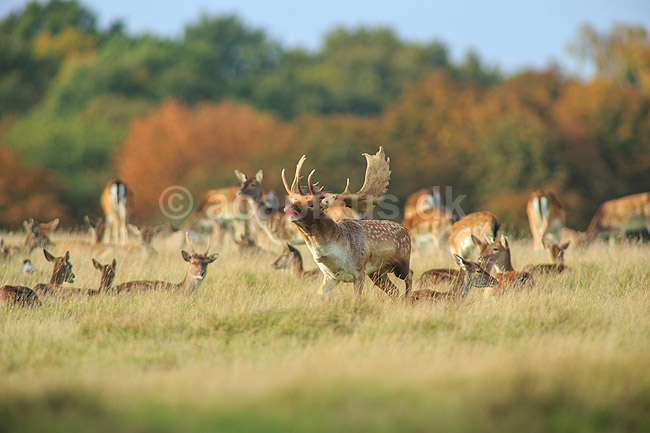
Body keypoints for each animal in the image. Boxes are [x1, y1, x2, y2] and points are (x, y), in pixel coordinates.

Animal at [281, 147, 412, 299]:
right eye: (296, 200)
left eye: (311, 204)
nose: (289, 207)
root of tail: (406, 231)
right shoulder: (331, 276)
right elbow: (320, 293)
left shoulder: (359, 271)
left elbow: (358, 298)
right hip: (378, 273)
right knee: (394, 290)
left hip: (402, 262)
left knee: (410, 275)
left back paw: (408, 299)